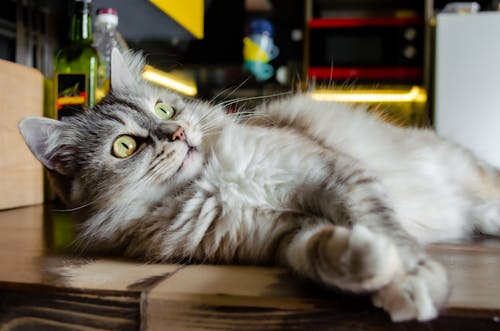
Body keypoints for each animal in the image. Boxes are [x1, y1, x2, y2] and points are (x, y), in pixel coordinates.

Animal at [17, 50, 500, 324]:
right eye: (124, 146)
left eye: (163, 108)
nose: (177, 133)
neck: (214, 181)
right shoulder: (285, 233)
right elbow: (323, 254)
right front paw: (369, 263)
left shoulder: (331, 174)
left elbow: (384, 225)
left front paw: (415, 279)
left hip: (469, 172)